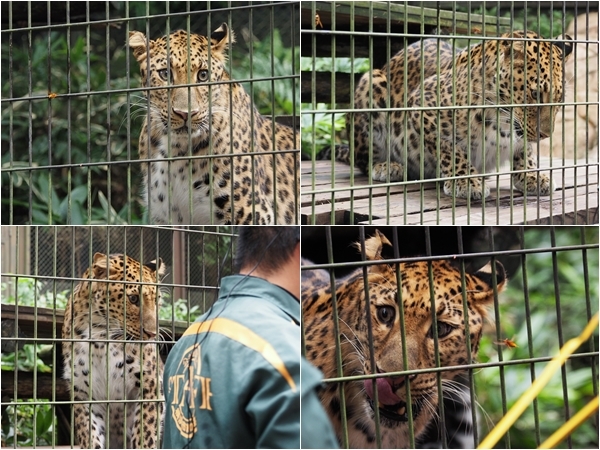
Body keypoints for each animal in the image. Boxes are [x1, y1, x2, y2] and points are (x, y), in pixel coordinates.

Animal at [62, 251, 165, 448]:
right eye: (133, 299)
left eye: (157, 301)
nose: (152, 333)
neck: (100, 335)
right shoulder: (82, 391)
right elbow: (89, 432)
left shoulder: (151, 382)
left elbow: (146, 430)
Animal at [332, 30, 572, 200]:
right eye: (535, 94)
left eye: (560, 99)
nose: (544, 135)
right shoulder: (422, 107)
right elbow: (451, 149)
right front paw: (466, 181)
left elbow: (525, 152)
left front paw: (532, 176)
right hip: (371, 83)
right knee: (362, 160)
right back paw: (387, 166)